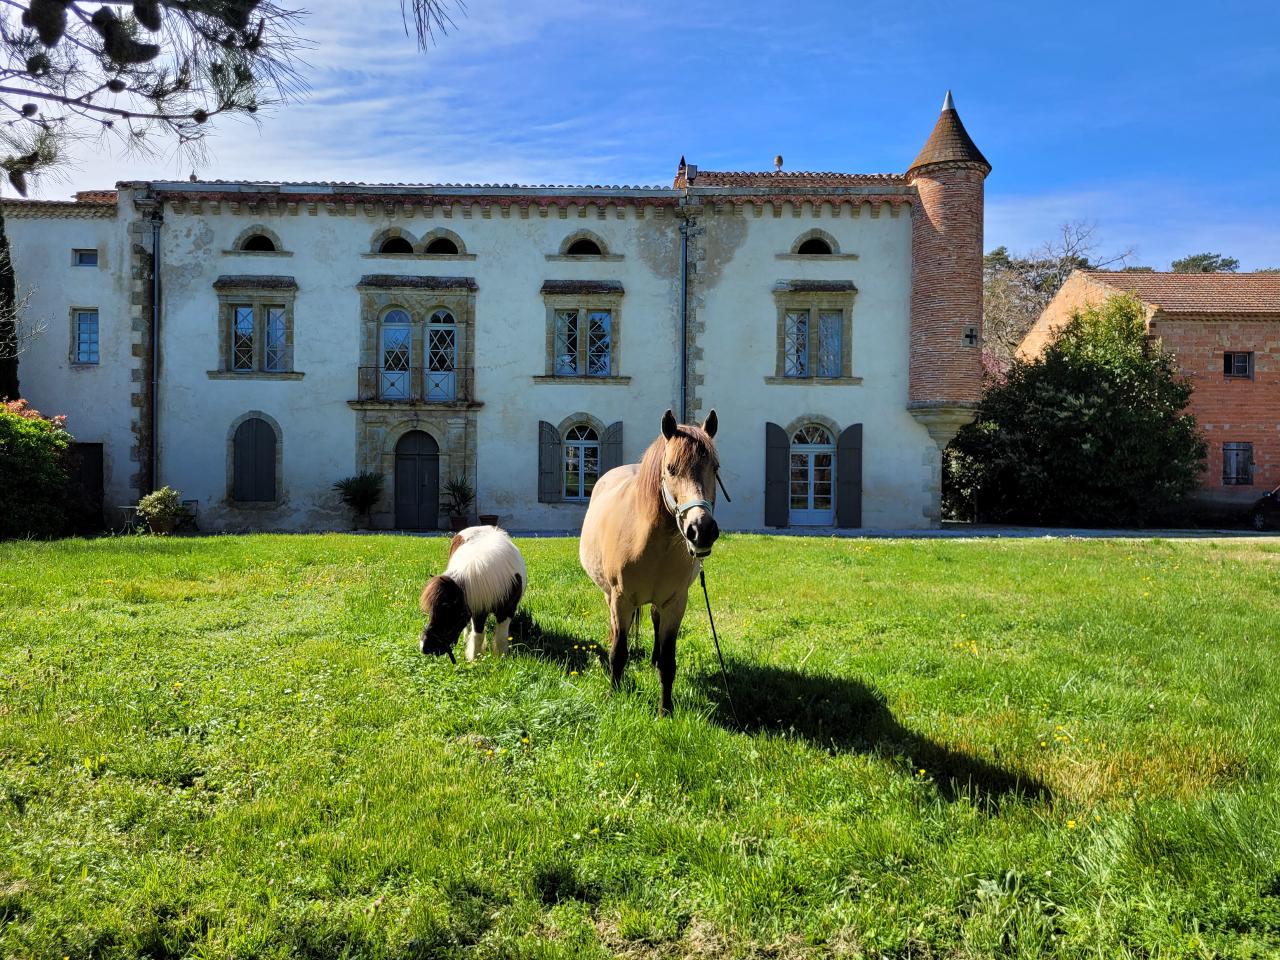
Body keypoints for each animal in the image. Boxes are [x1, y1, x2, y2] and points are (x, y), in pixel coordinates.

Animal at [419, 525, 526, 662]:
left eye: (448, 610)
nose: (424, 647)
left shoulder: (507, 611)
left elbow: (501, 636)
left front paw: (501, 657)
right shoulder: (478, 610)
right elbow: (478, 635)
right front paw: (475, 659)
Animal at [579, 408, 721, 715]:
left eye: (715, 468)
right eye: (671, 468)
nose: (701, 530)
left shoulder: (675, 602)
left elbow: (668, 662)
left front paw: (665, 710)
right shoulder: (620, 599)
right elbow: (619, 653)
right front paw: (614, 694)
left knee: (655, 619)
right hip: (609, 595)